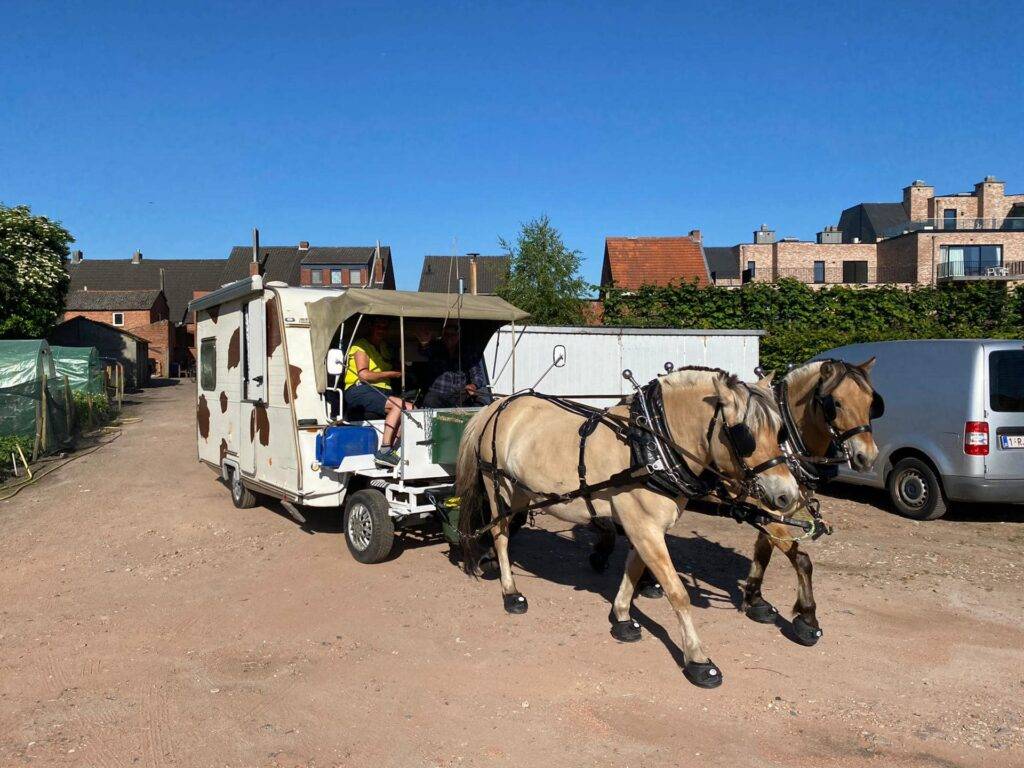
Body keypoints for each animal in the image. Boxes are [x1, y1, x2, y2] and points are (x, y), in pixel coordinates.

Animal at [456, 368, 798, 692]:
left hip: (522, 492)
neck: (649, 449)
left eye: (780, 430)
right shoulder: (645, 527)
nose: (788, 495)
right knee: (500, 535)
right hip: (498, 486)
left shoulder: (642, 526)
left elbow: (633, 570)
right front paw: (698, 659)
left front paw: (621, 617)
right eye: (745, 435)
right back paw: (510, 591)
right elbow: (678, 593)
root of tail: (497, 405)